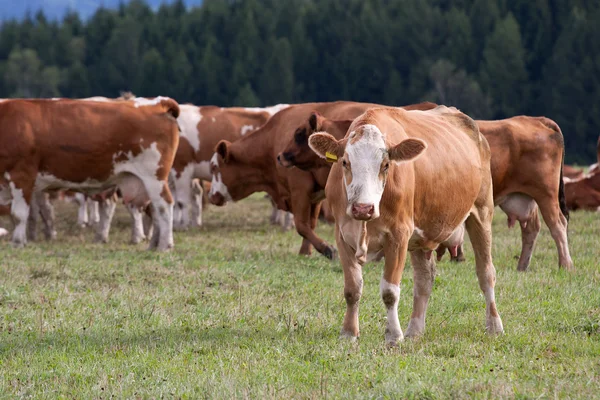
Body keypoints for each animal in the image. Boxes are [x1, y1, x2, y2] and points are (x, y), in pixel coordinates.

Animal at [0, 97, 179, 250]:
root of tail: (159, 102)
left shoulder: (22, 175)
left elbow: (18, 214)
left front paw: (17, 243)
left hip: (154, 177)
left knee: (164, 206)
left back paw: (165, 245)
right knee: (155, 209)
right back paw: (153, 245)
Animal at [280, 111, 572, 270]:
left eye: (299, 134)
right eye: (344, 162)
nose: (281, 156)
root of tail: (540, 120)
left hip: (545, 195)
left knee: (557, 224)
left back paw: (565, 264)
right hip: (523, 198)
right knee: (531, 228)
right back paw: (523, 265)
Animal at [310, 107, 502, 346]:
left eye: (386, 165)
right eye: (345, 162)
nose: (363, 208)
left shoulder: (398, 235)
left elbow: (390, 291)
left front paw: (393, 335)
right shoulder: (342, 235)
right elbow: (352, 288)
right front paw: (349, 333)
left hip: (482, 213)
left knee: (486, 273)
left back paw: (494, 325)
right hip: (421, 238)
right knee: (424, 281)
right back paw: (415, 330)